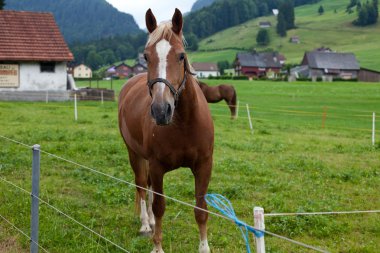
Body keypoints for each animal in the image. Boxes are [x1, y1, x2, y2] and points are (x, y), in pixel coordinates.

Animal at [118, 7, 214, 253]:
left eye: (181, 56)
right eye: (146, 56)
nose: (161, 110)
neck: (184, 124)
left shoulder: (204, 165)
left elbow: (201, 209)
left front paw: (204, 247)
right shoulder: (157, 166)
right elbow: (160, 206)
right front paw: (157, 246)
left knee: (148, 187)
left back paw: (150, 222)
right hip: (135, 154)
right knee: (142, 186)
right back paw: (145, 224)